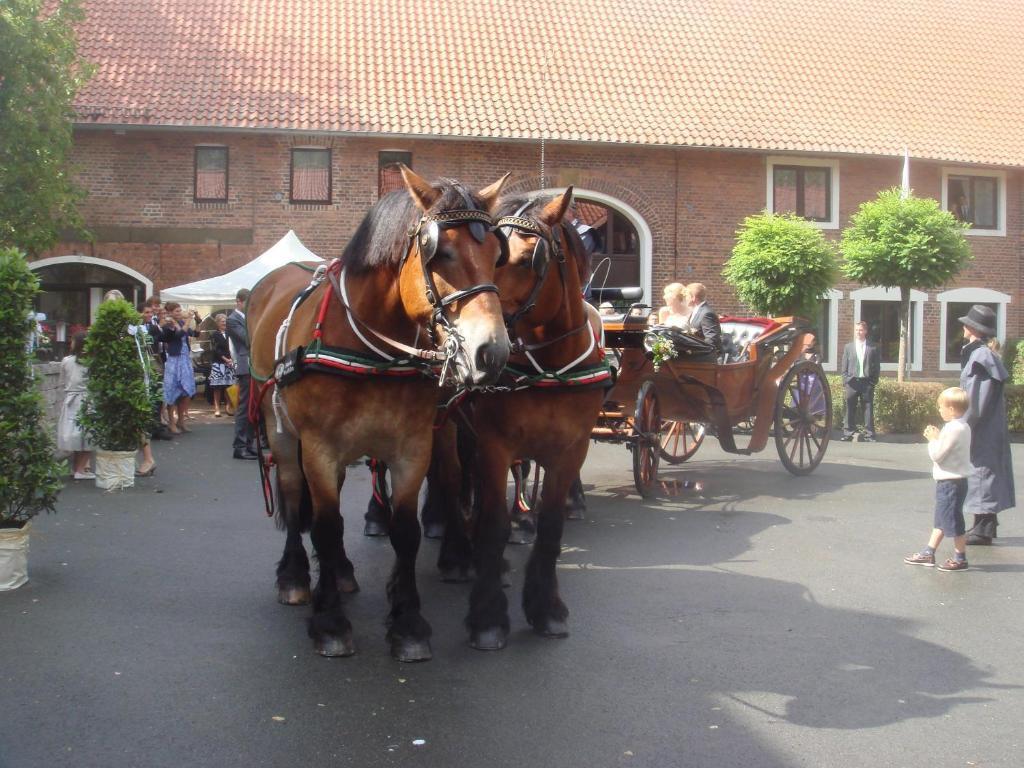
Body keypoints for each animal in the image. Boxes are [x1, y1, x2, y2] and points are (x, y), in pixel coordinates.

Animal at [248, 167, 512, 663]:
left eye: (495, 255)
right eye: (440, 252)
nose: (493, 352)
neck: (369, 349)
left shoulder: (412, 448)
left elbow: (405, 531)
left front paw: (407, 625)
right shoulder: (319, 448)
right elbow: (326, 526)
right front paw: (330, 623)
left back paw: (341, 572)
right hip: (280, 432)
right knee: (293, 497)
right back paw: (295, 576)